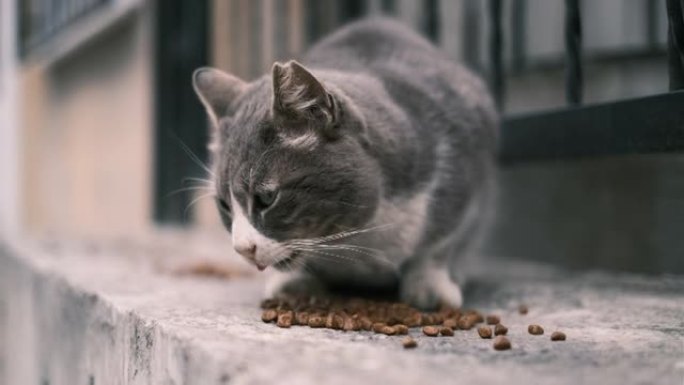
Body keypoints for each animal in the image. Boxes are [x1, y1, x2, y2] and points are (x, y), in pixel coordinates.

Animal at [192, 18, 496, 308]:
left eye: (267, 198)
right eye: (224, 205)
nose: (242, 249)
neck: (358, 237)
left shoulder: (461, 168)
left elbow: (440, 242)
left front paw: (429, 286)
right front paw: (293, 284)